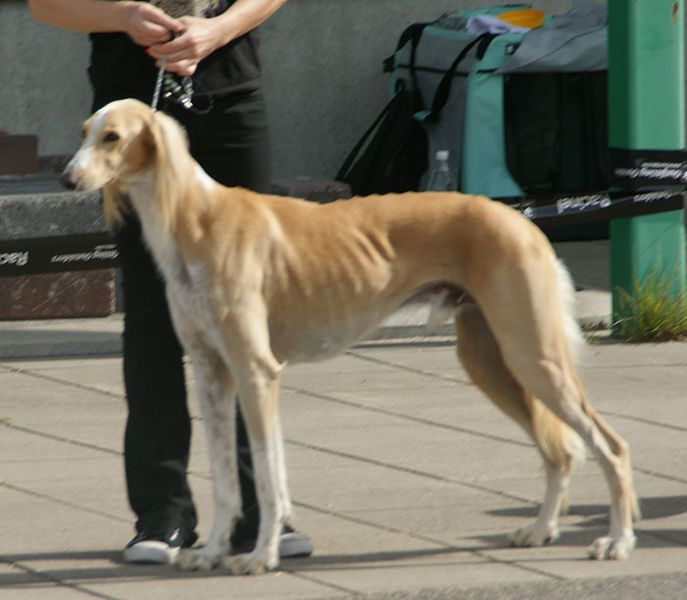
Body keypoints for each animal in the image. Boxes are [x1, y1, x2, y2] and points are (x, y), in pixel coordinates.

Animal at [63, 101, 640, 576]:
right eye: (84, 131)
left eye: (112, 137)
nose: (68, 179)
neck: (195, 219)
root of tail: (523, 220)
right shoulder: (211, 373)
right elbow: (227, 477)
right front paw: (211, 553)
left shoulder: (256, 370)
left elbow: (267, 476)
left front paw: (262, 555)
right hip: (490, 359)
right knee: (560, 451)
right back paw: (542, 530)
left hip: (531, 354)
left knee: (609, 445)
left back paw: (616, 541)